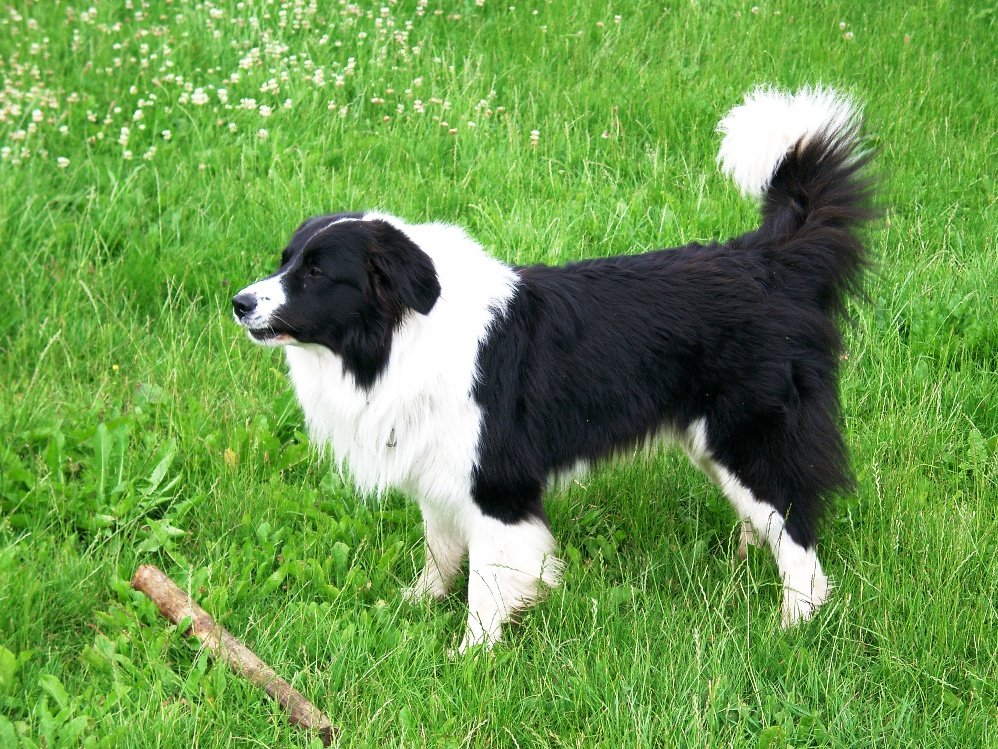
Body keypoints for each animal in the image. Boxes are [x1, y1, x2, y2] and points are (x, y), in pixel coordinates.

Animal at [234, 86, 876, 648]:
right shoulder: (441, 467)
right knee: (763, 516)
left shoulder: (497, 482)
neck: (400, 337)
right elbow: (440, 551)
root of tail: (767, 260)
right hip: (711, 439)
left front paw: (471, 654)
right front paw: (415, 605)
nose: (239, 303)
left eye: (317, 273)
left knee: (796, 530)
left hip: (750, 435)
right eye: (285, 261)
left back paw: (794, 623)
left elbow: (488, 581)